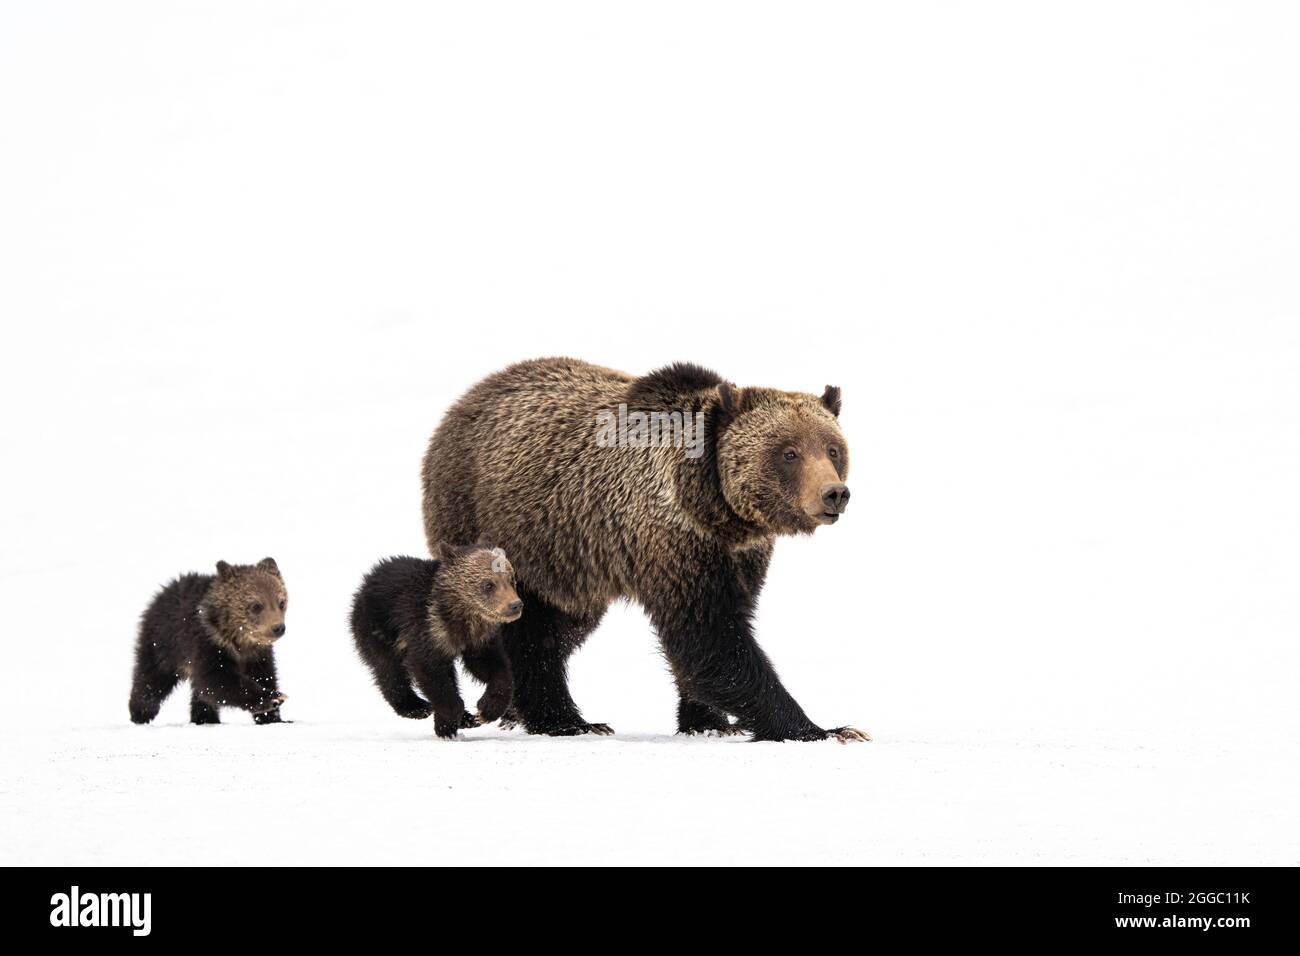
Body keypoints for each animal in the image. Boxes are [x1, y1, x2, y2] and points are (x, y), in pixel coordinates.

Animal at [127, 556, 289, 728]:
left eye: (281, 602)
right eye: (256, 605)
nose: (278, 627)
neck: (238, 638)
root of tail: (161, 593)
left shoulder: (258, 654)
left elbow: (264, 675)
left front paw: (274, 717)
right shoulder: (208, 643)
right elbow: (217, 679)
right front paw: (272, 698)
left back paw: (205, 718)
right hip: (163, 642)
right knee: (152, 676)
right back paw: (141, 712)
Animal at [353, 538, 525, 738]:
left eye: (511, 579)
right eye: (488, 584)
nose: (515, 605)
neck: (461, 617)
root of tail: (368, 579)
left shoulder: (479, 640)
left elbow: (493, 668)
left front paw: (484, 711)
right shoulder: (427, 629)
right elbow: (430, 672)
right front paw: (447, 725)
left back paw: (467, 718)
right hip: (378, 628)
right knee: (389, 669)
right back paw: (416, 707)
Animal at [421, 358, 868, 738]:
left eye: (832, 448)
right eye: (789, 452)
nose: (834, 494)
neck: (712, 509)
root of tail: (464, 401)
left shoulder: (738, 557)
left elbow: (717, 632)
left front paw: (709, 722)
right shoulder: (672, 544)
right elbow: (710, 639)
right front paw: (823, 728)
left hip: (568, 563)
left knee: (562, 628)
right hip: (499, 526)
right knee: (530, 633)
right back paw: (566, 720)